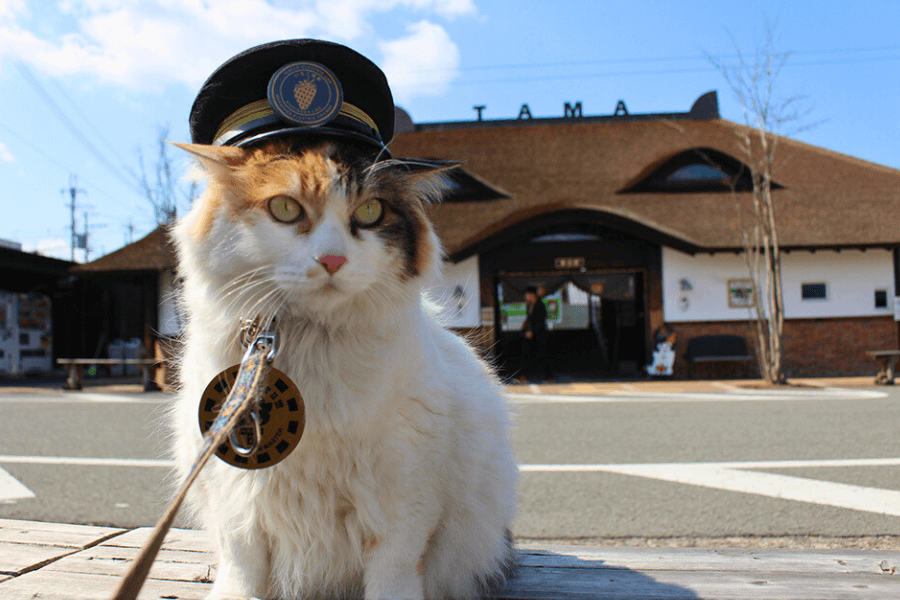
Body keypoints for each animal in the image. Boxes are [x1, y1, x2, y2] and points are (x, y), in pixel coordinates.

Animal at [170, 137, 520, 600]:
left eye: (370, 212)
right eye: (285, 208)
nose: (332, 260)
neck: (307, 346)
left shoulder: (405, 494)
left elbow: (392, 574)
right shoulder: (231, 492)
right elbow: (241, 567)